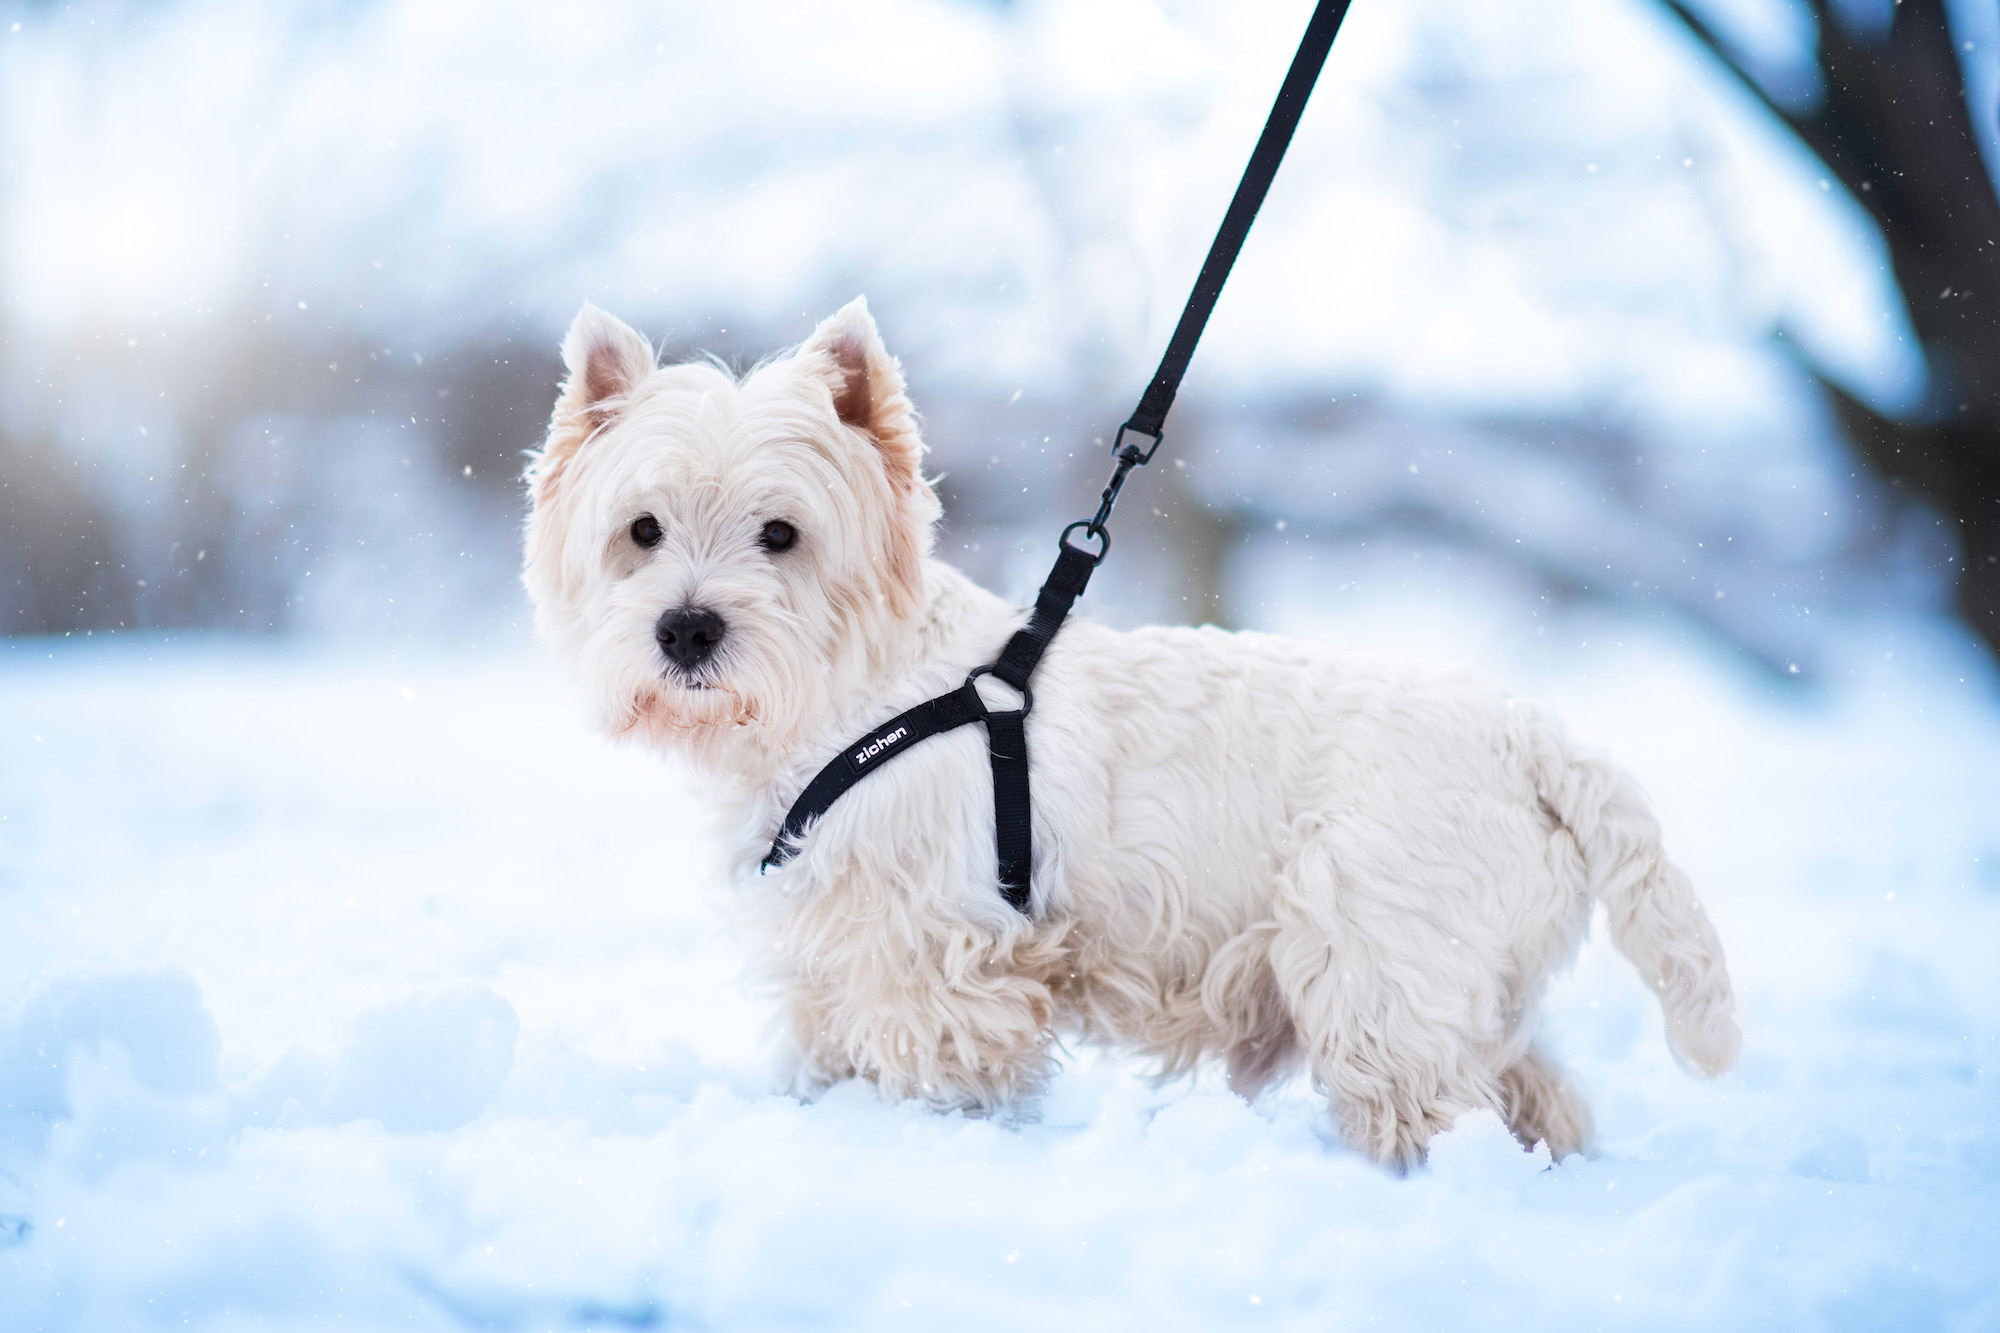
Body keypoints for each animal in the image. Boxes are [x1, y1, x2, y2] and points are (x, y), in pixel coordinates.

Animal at [524, 298, 1744, 1160]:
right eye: (641, 529)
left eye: (780, 533)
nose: (687, 629)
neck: (853, 700)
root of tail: (1536, 738)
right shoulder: (830, 948)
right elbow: (824, 1051)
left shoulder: (938, 947)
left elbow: (936, 1064)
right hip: (1471, 976)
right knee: (1536, 1091)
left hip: (1376, 964)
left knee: (1424, 1100)